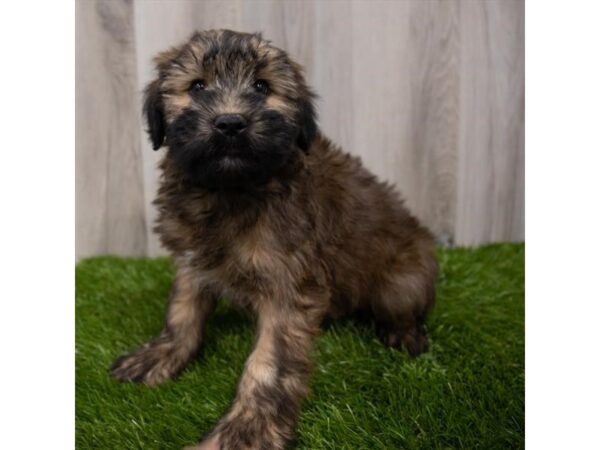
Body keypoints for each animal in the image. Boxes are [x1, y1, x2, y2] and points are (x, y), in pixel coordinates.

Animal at [111, 29, 436, 448]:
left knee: (403, 304)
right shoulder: (192, 259)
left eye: (262, 87)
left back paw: (404, 332)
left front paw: (247, 430)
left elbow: (270, 363)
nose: (230, 123)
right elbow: (182, 313)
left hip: (402, 281)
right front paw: (160, 354)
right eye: (197, 86)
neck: (230, 191)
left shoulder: (289, 284)